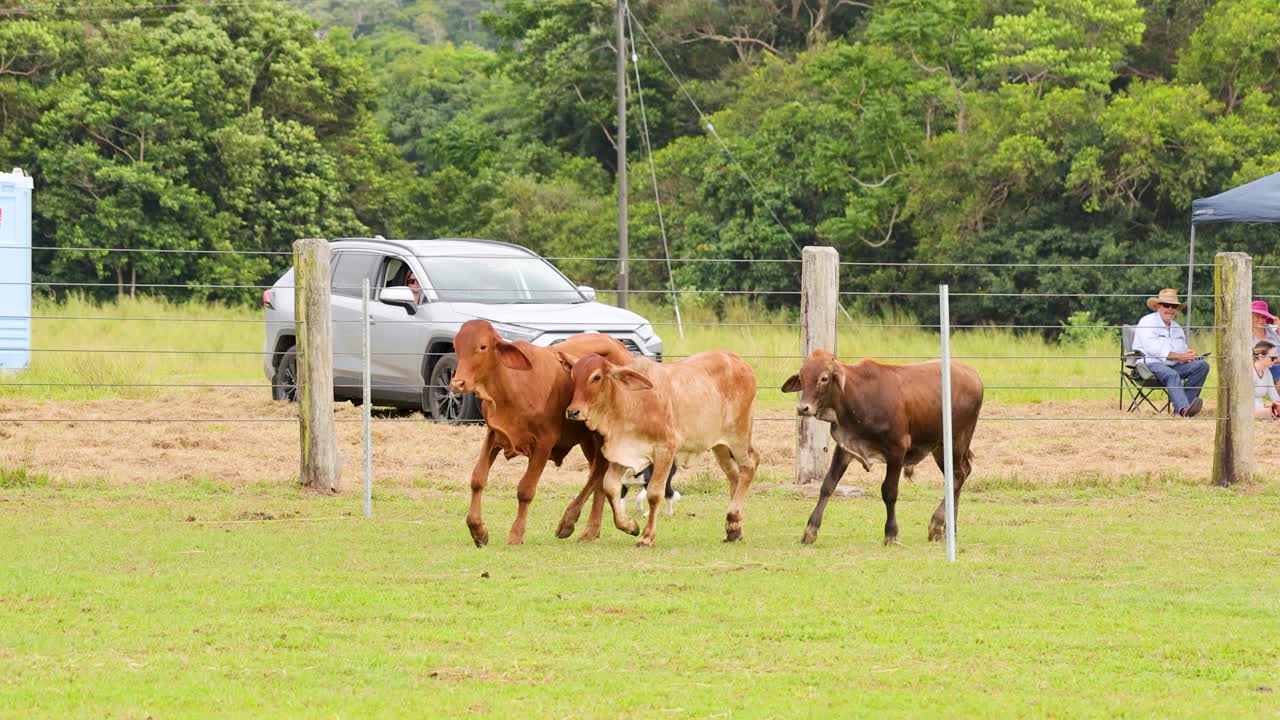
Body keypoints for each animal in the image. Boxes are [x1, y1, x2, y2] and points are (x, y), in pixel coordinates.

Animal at [448, 319, 637, 546]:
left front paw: (516, 534)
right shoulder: (494, 435)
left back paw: (570, 522)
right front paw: (478, 530)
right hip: (588, 441)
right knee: (598, 473)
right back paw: (591, 531)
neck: (511, 386)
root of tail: (618, 345)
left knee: (598, 471)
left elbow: (525, 490)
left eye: (482, 346)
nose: (457, 383)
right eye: (456, 346)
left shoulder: (544, 443)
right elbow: (477, 479)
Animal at [560, 351, 759, 547]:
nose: (573, 411)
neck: (630, 401)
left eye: (596, 377)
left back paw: (733, 518)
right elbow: (609, 486)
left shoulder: (665, 450)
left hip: (738, 438)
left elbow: (654, 493)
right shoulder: (624, 453)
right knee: (734, 476)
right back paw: (734, 529)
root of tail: (738, 361)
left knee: (749, 466)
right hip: (720, 446)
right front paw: (630, 526)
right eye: (573, 376)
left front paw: (647, 537)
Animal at [781, 349, 983, 546]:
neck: (858, 396)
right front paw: (810, 530)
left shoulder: (898, 450)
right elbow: (828, 485)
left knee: (958, 475)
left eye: (824, 378)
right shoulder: (845, 447)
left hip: (957, 439)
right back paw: (950, 528)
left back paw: (937, 524)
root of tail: (973, 374)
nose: (803, 408)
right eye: (802, 377)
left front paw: (891, 533)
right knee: (958, 475)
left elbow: (889, 491)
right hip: (940, 447)